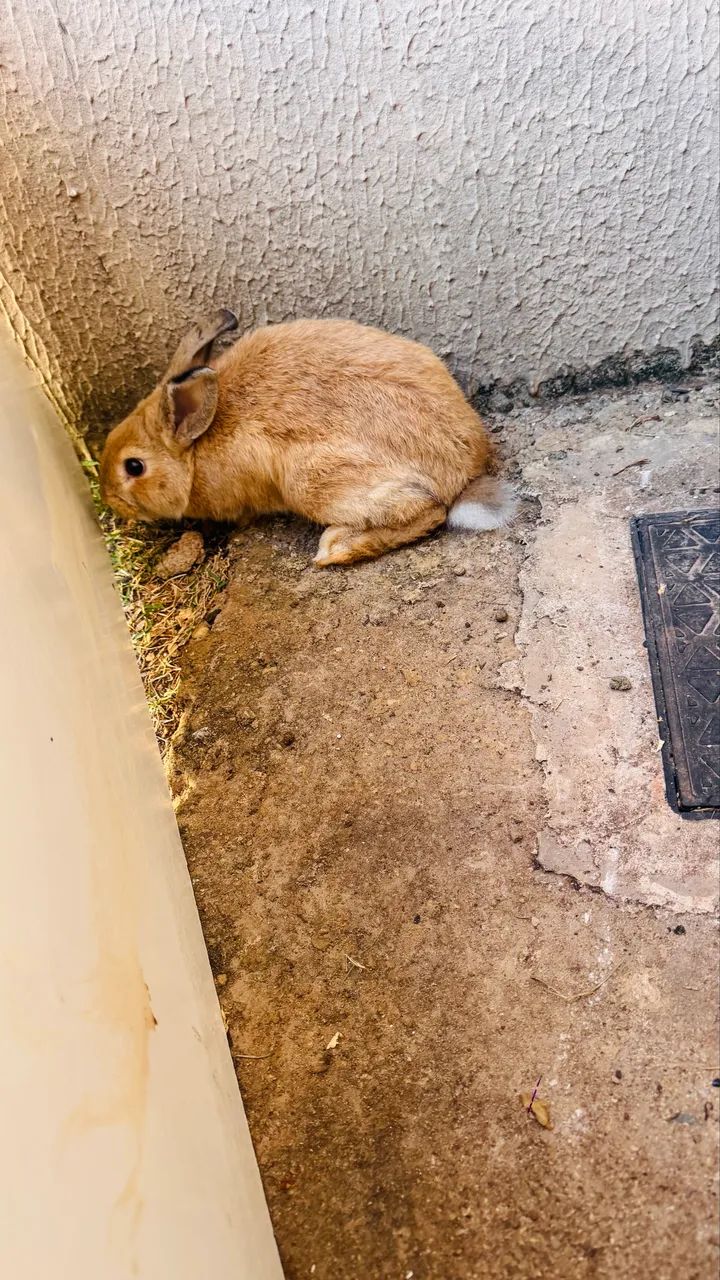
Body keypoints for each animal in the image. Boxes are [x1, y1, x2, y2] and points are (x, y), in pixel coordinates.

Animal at [100, 310, 515, 566]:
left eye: (133, 466)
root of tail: (465, 469)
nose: (110, 500)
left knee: (428, 511)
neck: (194, 449)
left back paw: (336, 549)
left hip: (311, 481)